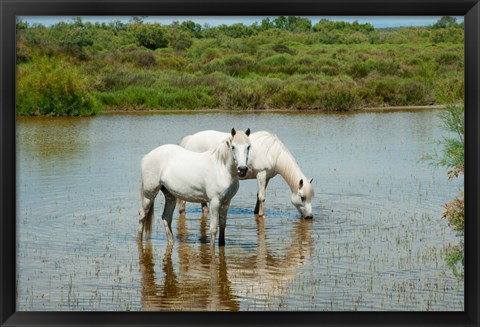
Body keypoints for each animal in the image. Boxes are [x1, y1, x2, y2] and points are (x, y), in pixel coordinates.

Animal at [178, 130, 314, 218]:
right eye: (302, 197)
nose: (309, 217)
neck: (273, 152)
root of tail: (190, 139)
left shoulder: (266, 177)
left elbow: (259, 195)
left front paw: (256, 212)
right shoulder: (261, 174)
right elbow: (262, 197)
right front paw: (261, 215)